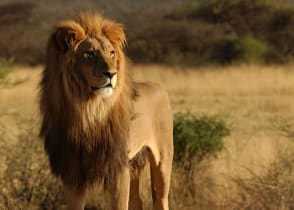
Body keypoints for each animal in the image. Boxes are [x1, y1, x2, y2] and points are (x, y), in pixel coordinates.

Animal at [38, 12, 172, 209]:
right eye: (90, 53)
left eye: (111, 53)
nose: (112, 74)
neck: (88, 110)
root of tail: (158, 86)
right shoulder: (72, 173)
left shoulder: (118, 169)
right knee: (137, 200)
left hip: (162, 160)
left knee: (161, 198)